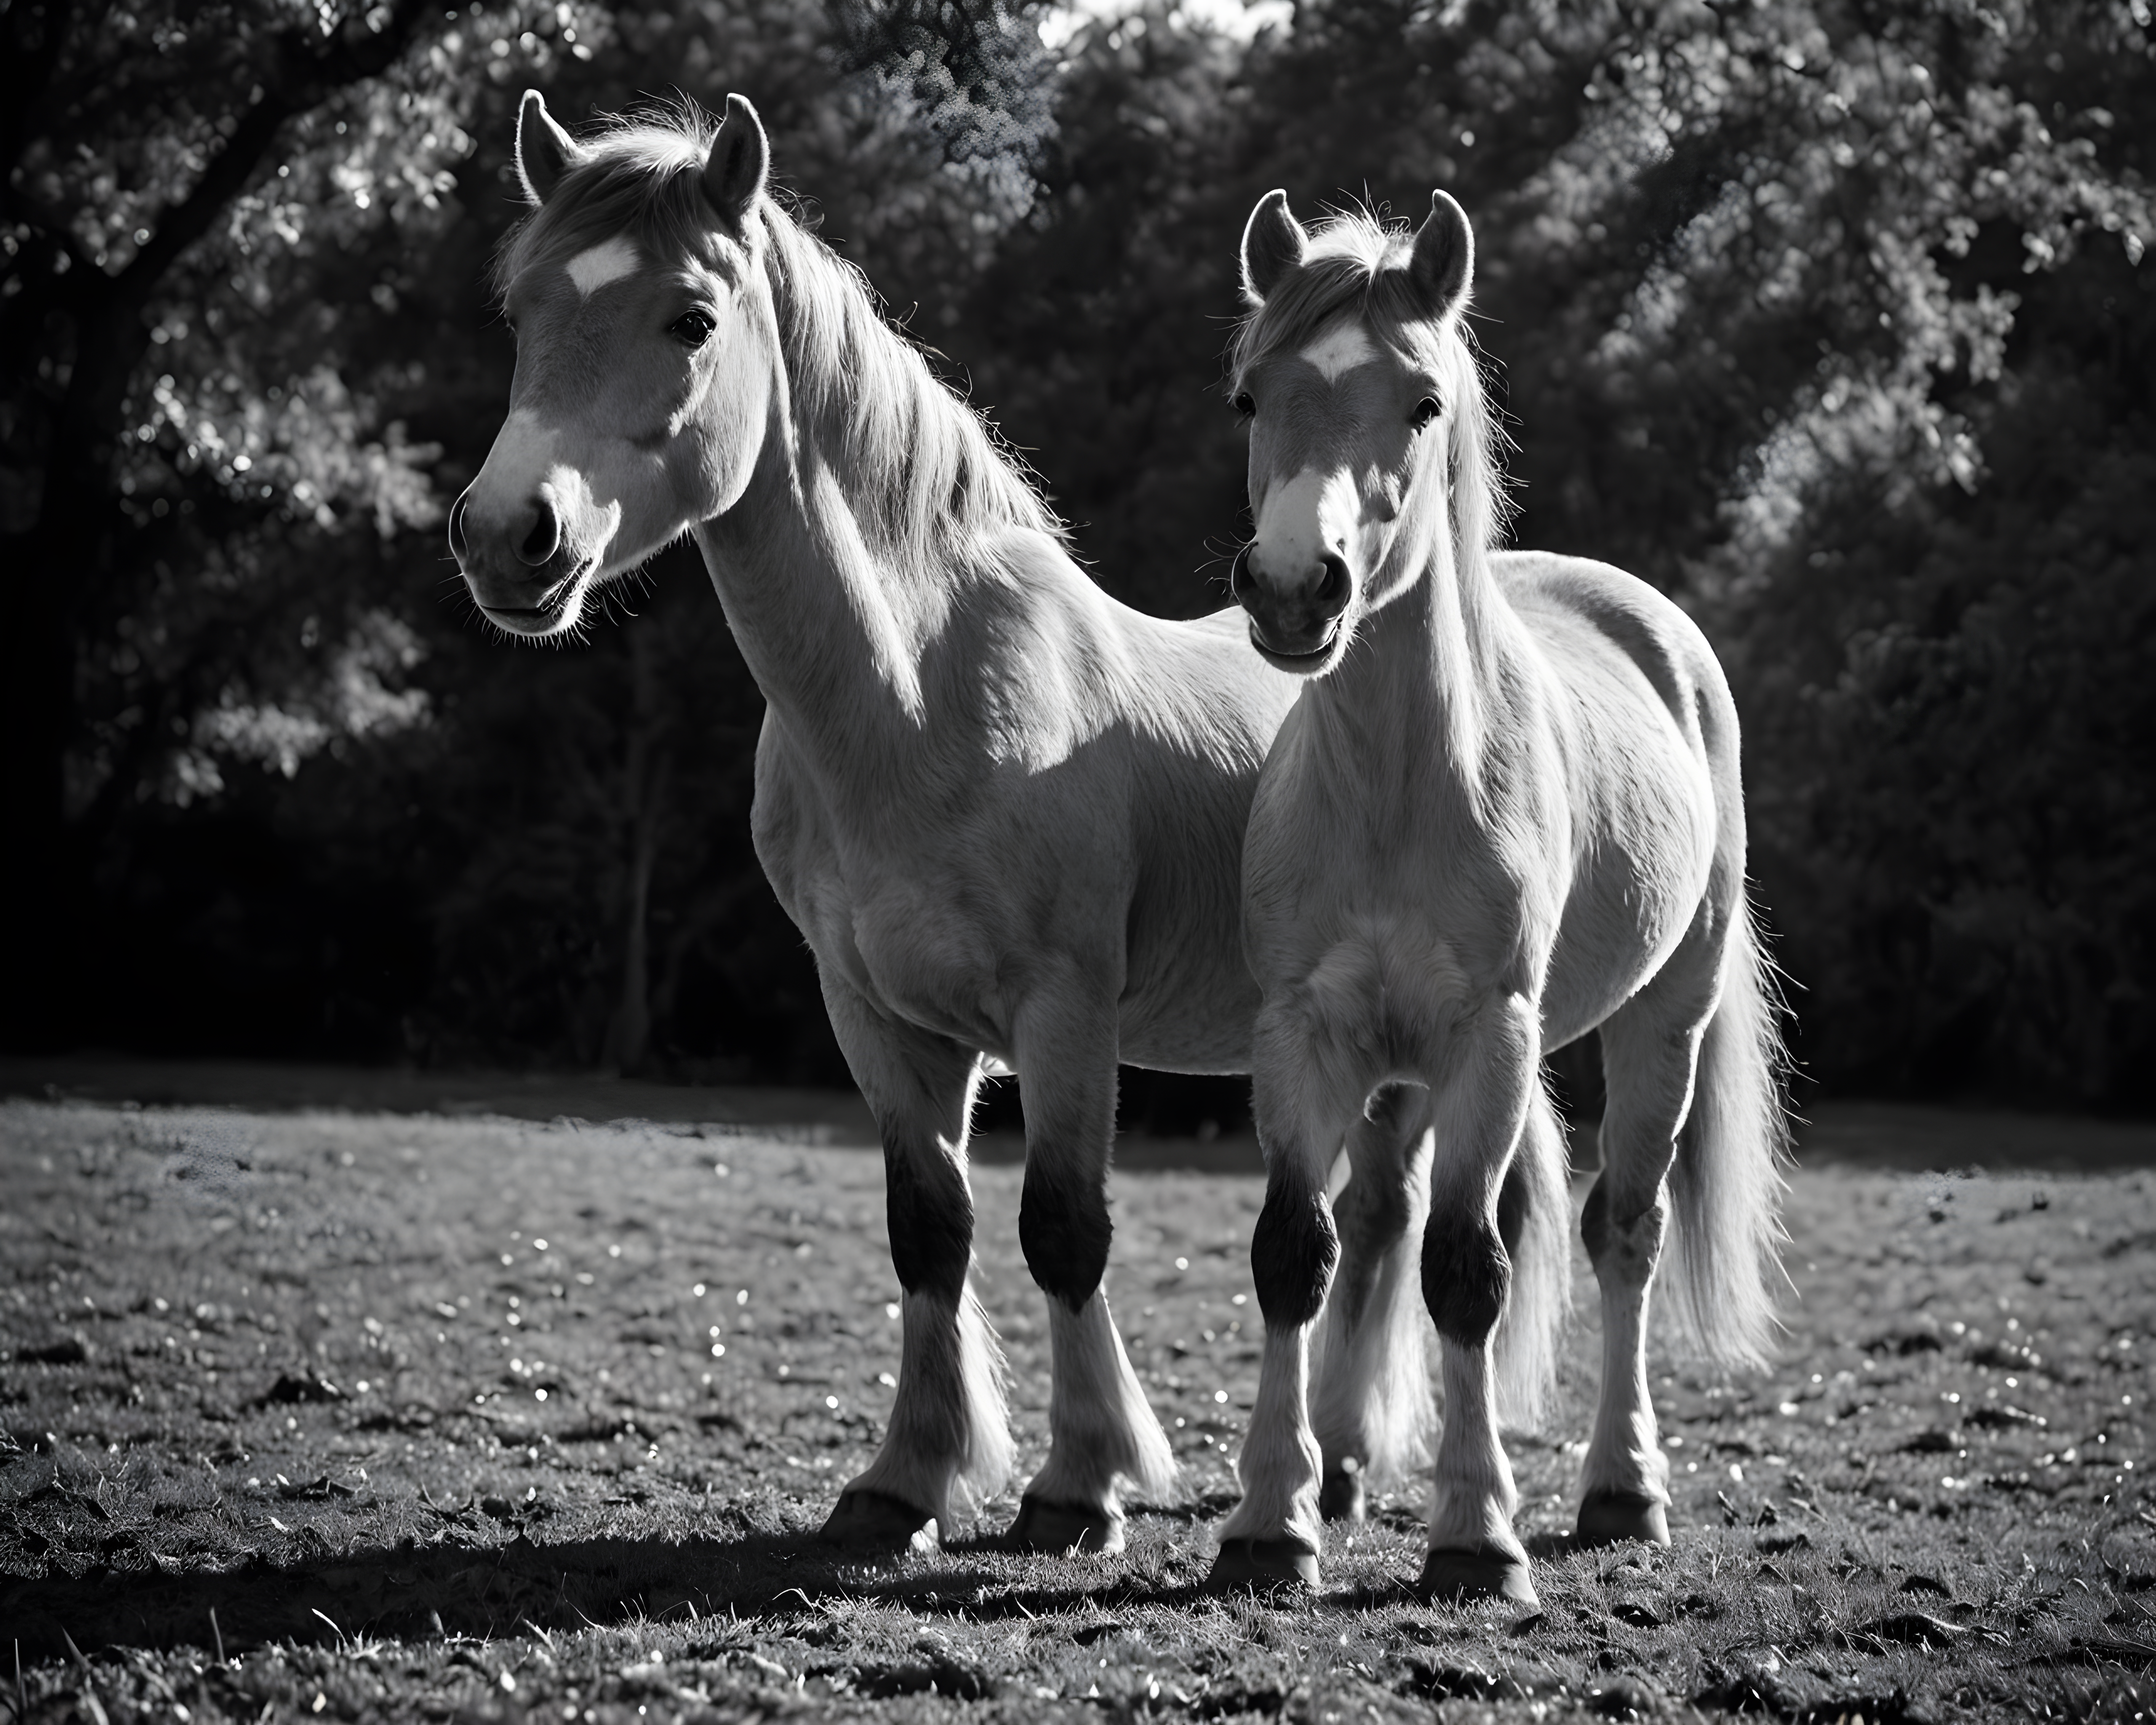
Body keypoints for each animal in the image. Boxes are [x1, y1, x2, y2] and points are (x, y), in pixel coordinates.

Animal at [448, 89, 1315, 1556]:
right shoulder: (878, 1016)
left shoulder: (1062, 1016)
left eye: (692, 318)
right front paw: (900, 1485)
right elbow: (930, 1233)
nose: (511, 534)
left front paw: (1077, 1490)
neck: (919, 695)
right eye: (521, 308)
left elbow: (1061, 1230)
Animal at [1211, 188, 1789, 1604]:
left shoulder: (1494, 1038)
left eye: (1422, 401)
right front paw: (1270, 1520)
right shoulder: (1302, 1036)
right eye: (1253, 396)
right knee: (1377, 1222)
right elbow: (1293, 1251)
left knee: (1621, 1231)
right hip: (1398, 1072)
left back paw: (1620, 1487)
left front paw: (1474, 1534)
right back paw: (1346, 1462)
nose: (1293, 586)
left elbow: (1469, 1271)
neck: (1400, 782)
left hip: (1660, 1025)